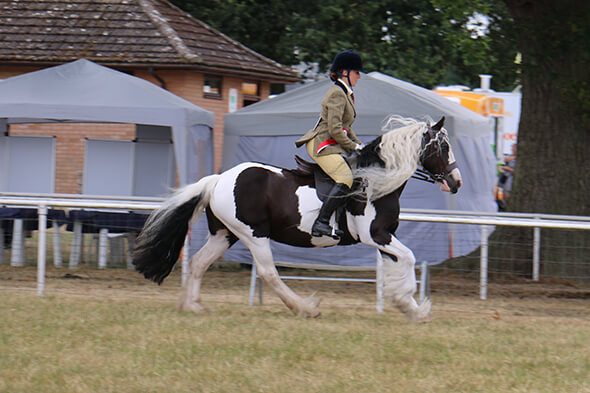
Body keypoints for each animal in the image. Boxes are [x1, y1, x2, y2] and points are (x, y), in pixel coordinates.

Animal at [134, 115, 462, 320]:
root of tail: (217, 180)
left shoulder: (384, 239)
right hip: (253, 234)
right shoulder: (377, 236)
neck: (377, 182)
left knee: (198, 262)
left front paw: (409, 307)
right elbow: (408, 259)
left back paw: (193, 306)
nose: (456, 183)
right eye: (444, 147)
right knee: (268, 273)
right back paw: (305, 308)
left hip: (225, 234)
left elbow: (399, 266)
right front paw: (412, 305)